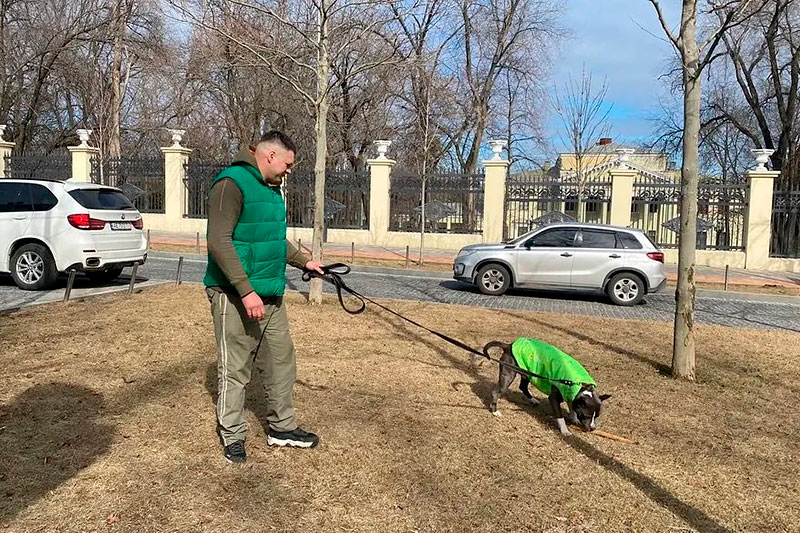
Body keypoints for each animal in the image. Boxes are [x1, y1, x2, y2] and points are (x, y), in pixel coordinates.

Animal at [482, 338, 612, 434]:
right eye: (586, 415)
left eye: (597, 416)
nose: (593, 428)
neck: (578, 385)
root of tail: (508, 346)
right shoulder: (554, 398)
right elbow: (560, 416)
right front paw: (565, 430)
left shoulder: (570, 393)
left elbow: (572, 406)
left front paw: (574, 418)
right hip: (508, 375)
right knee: (496, 392)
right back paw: (495, 411)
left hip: (528, 374)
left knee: (522, 387)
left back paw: (533, 400)